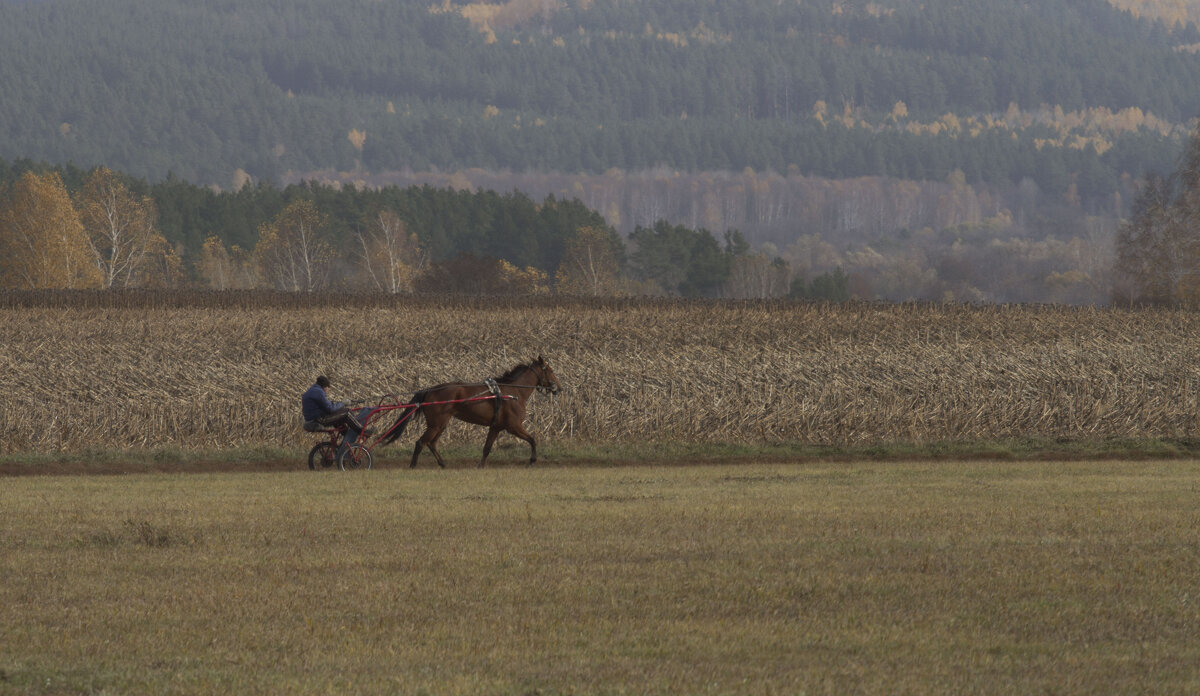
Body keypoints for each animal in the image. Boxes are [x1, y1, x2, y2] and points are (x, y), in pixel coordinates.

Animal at [379, 360, 561, 468]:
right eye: (550, 370)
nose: (559, 387)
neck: (513, 392)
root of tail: (429, 390)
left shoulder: (496, 427)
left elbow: (487, 448)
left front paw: (480, 466)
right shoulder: (513, 426)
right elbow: (533, 440)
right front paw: (532, 460)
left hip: (441, 424)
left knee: (431, 443)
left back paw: (443, 464)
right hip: (437, 424)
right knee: (421, 442)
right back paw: (413, 465)